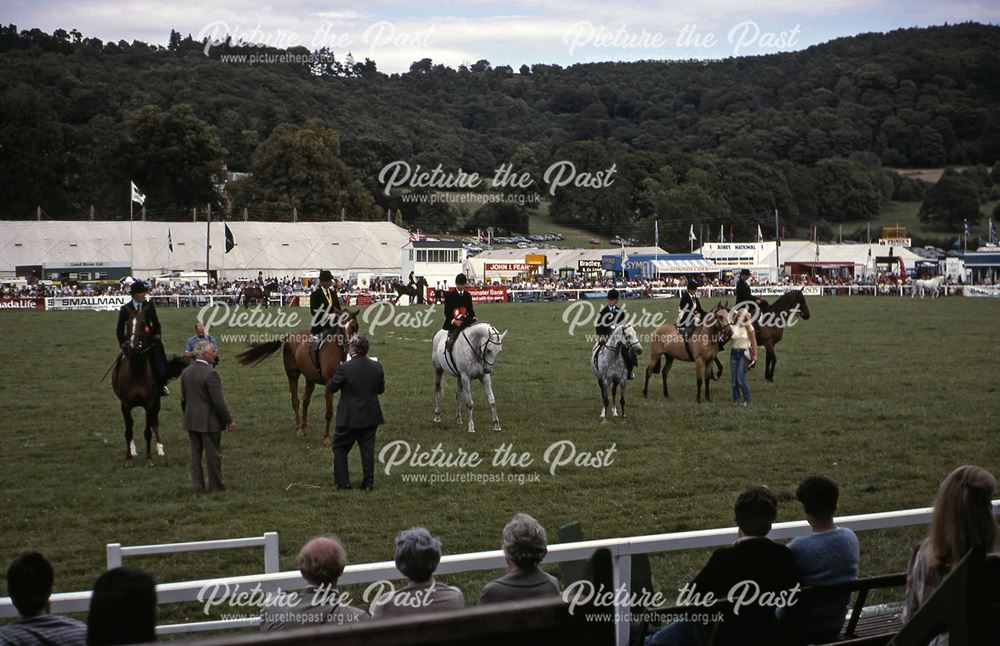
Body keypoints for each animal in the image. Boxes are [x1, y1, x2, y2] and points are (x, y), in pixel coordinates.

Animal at [112, 308, 187, 466]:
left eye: (143, 324)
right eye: (129, 324)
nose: (133, 346)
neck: (137, 371)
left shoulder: (150, 403)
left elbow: (148, 431)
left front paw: (149, 459)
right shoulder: (125, 405)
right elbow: (128, 431)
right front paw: (129, 459)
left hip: (156, 403)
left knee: (154, 422)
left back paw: (159, 448)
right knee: (131, 426)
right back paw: (133, 448)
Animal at [234, 314, 360, 446]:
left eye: (354, 326)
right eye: (341, 327)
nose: (348, 344)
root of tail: (290, 336)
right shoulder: (329, 386)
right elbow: (329, 412)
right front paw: (326, 438)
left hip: (310, 378)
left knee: (305, 401)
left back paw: (304, 427)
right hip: (292, 375)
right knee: (296, 401)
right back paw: (299, 429)